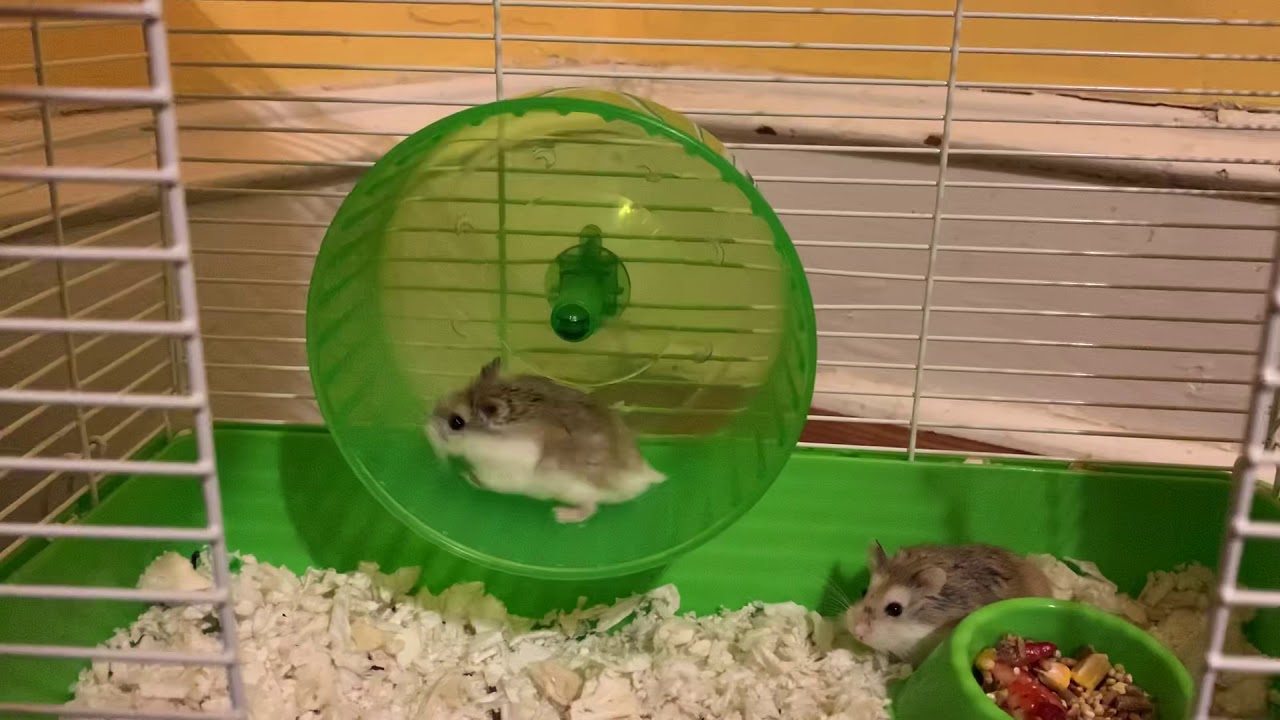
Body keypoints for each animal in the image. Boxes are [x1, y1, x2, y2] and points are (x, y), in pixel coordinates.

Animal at [425, 356, 665, 523]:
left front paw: (465, 474)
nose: (427, 428)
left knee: (591, 508)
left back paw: (559, 515)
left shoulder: (499, 474)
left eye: (456, 422)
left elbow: (483, 480)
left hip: (576, 489)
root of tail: (644, 476)